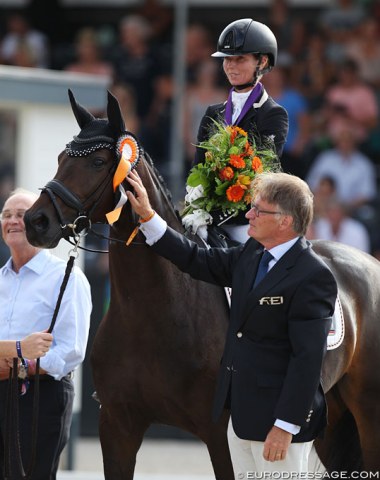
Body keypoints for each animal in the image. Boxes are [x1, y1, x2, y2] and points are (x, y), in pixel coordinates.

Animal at [23, 90, 380, 476]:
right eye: (61, 158)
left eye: (99, 162)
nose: (36, 222)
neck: (154, 309)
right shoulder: (118, 427)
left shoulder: (222, 433)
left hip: (368, 417)